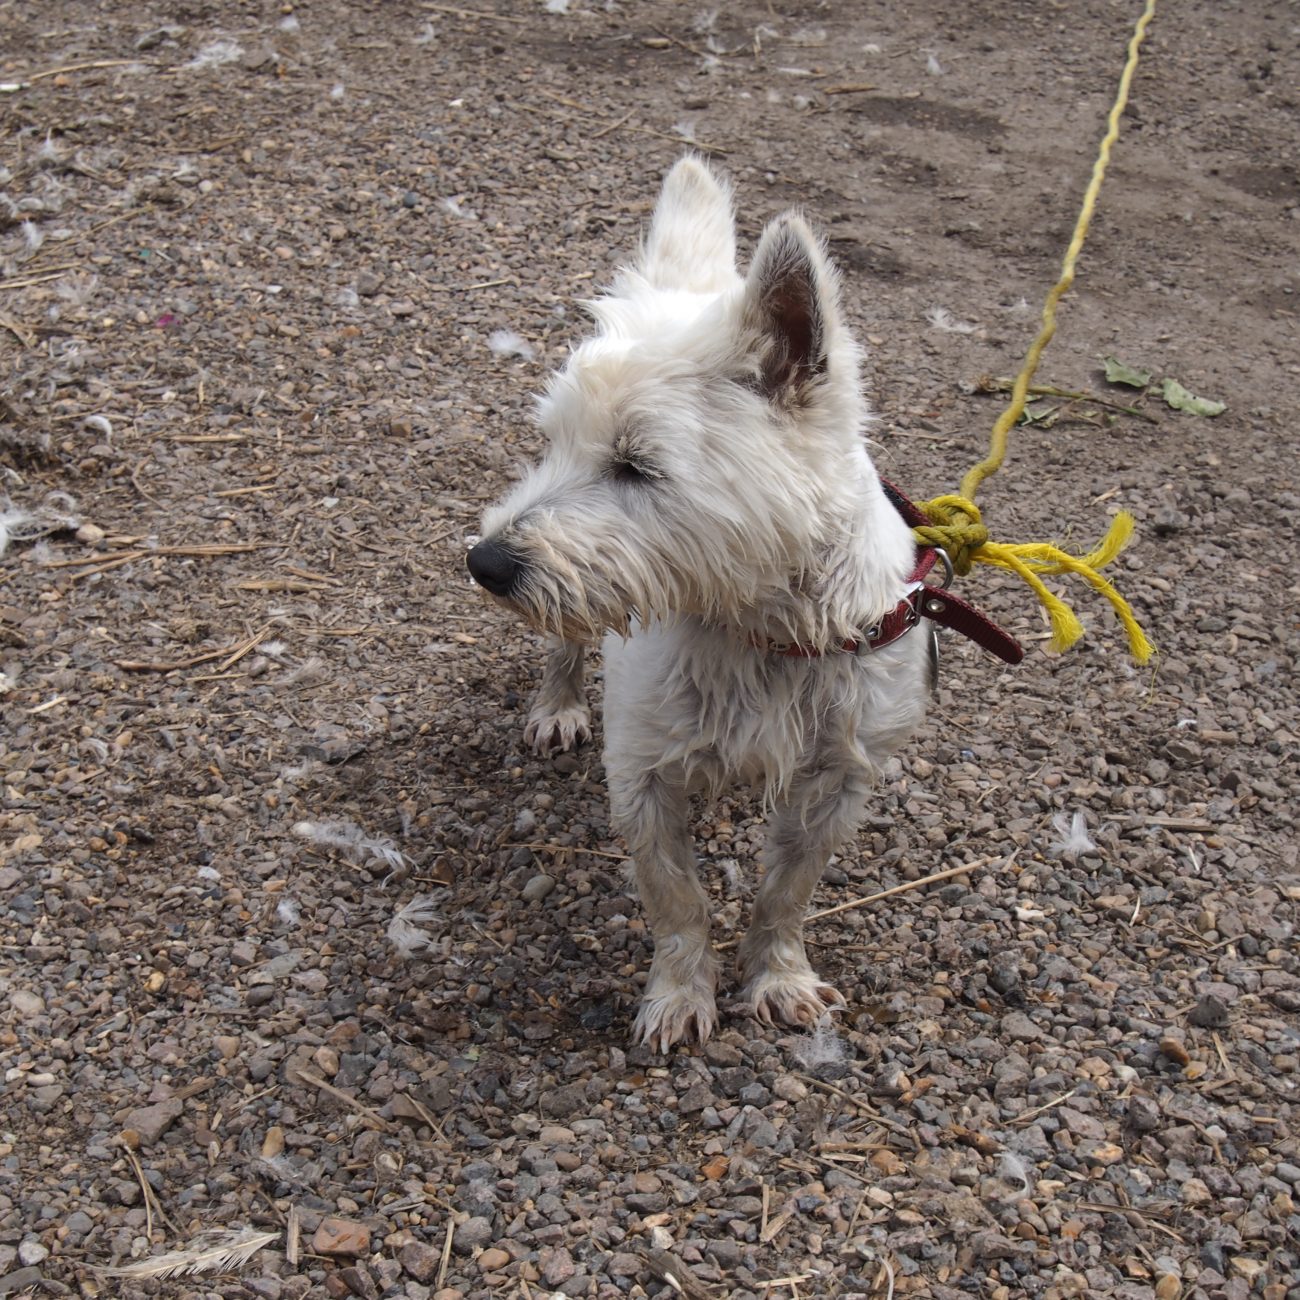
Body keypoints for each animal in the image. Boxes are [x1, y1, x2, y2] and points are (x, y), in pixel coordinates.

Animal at [468, 158, 942, 1051]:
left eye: (636, 465)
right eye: (553, 443)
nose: (486, 563)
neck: (765, 628)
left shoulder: (838, 782)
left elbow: (787, 893)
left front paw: (777, 978)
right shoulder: (641, 772)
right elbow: (678, 901)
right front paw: (681, 997)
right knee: (564, 643)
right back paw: (556, 705)